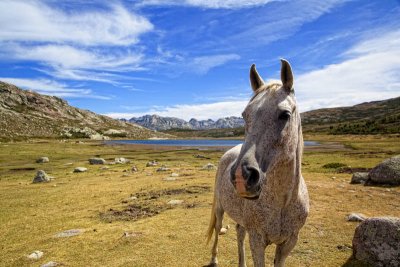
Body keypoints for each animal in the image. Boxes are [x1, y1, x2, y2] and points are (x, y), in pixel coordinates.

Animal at [206, 59, 310, 266]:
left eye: (285, 114)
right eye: (245, 115)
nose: (241, 176)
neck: (282, 203)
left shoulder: (289, 241)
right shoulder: (257, 240)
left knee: (239, 232)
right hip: (220, 208)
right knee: (218, 229)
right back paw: (214, 259)